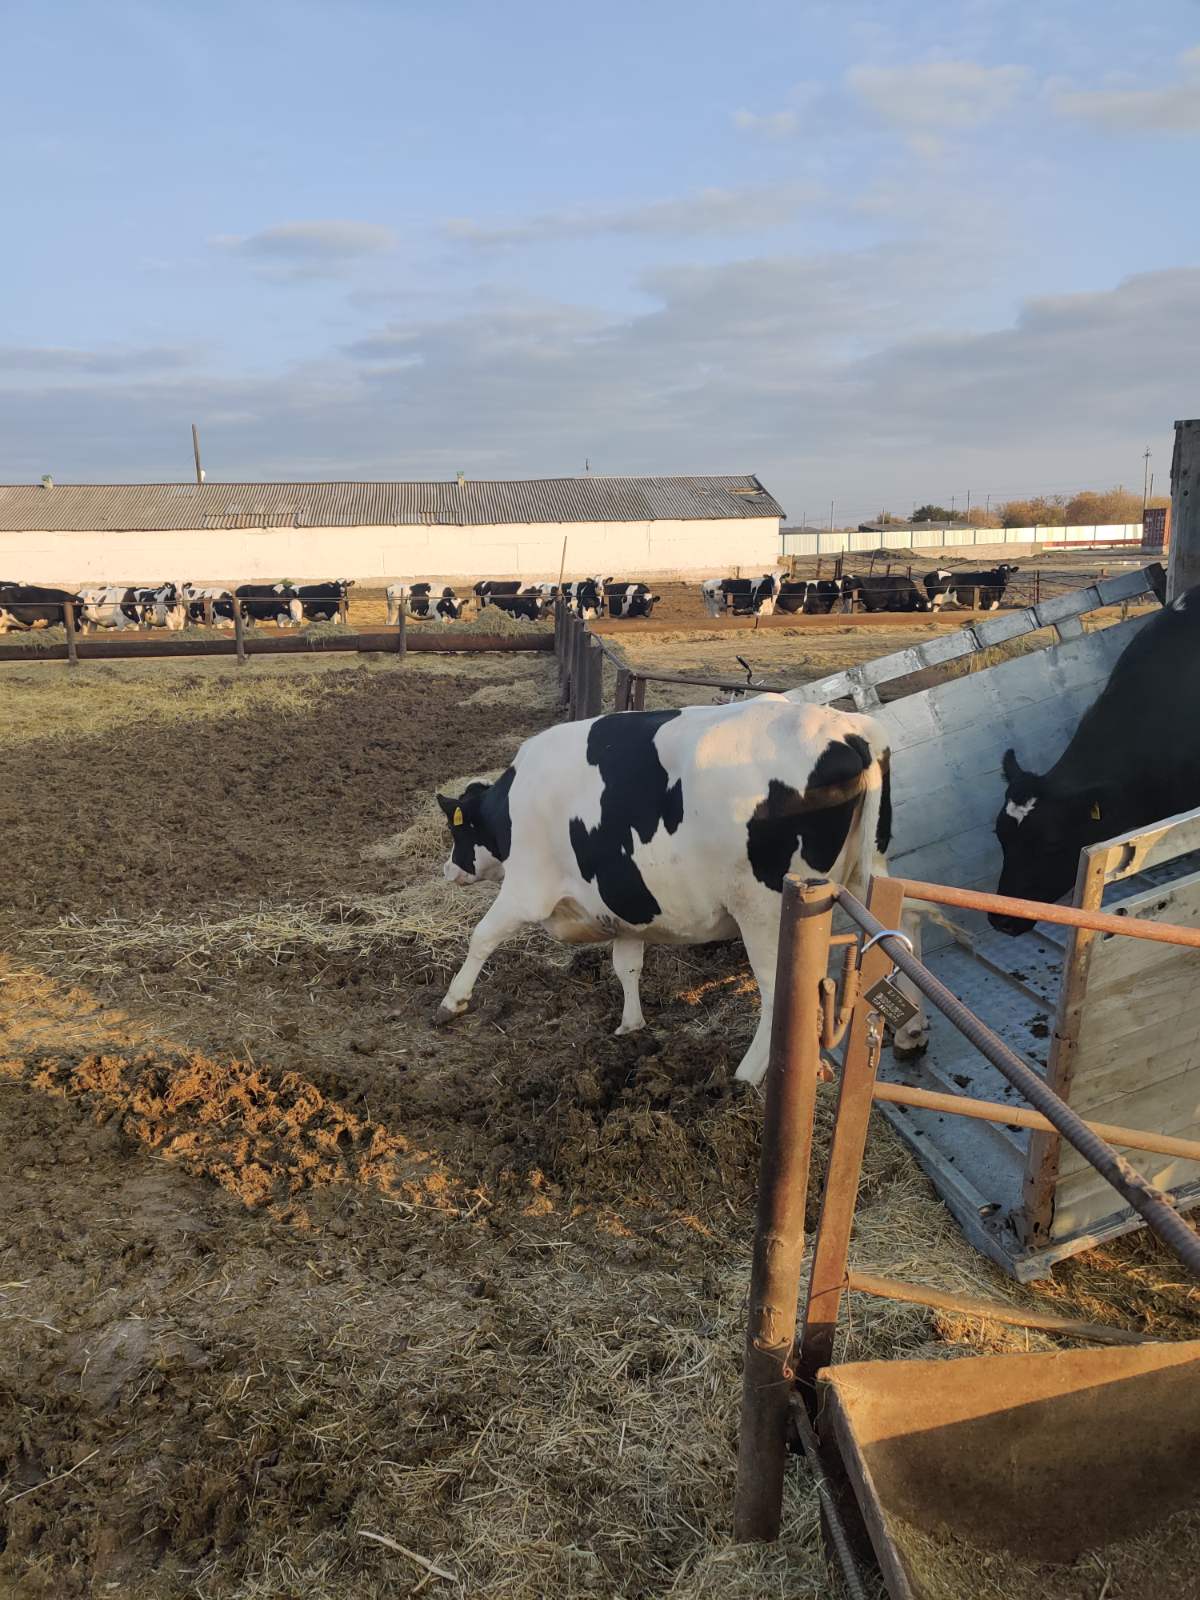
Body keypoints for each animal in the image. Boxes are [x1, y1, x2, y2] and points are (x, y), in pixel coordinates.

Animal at [432, 695, 926, 1083]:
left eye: (456, 831)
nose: (448, 869)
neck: (513, 804)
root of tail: (849, 729)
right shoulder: (626, 905)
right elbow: (627, 965)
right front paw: (631, 1024)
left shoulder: (527, 890)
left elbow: (482, 937)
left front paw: (452, 1001)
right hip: (870, 871)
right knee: (907, 929)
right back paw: (912, 1031)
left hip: (767, 911)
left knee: (778, 992)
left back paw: (746, 1075)